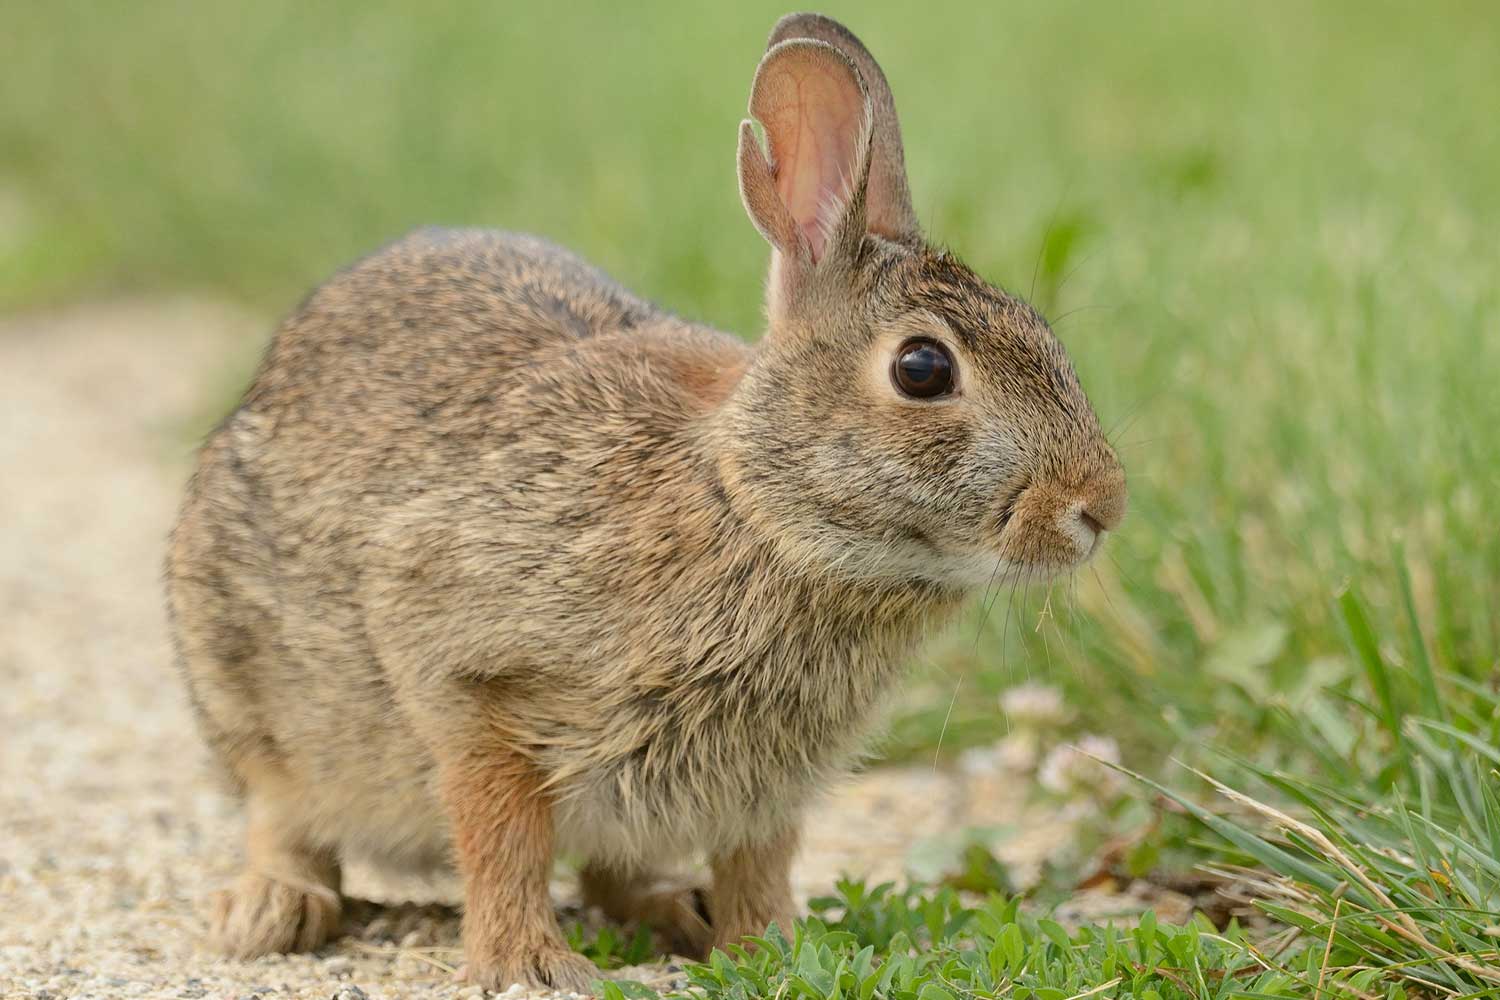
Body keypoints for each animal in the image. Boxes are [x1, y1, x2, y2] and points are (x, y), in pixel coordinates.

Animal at [164, 11, 1128, 995]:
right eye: (923, 369)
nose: (1100, 506)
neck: (753, 509)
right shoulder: (460, 663)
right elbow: (500, 829)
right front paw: (529, 965)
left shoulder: (763, 785)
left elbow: (758, 861)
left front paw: (773, 948)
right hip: (242, 685)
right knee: (282, 810)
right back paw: (272, 908)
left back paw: (676, 910)